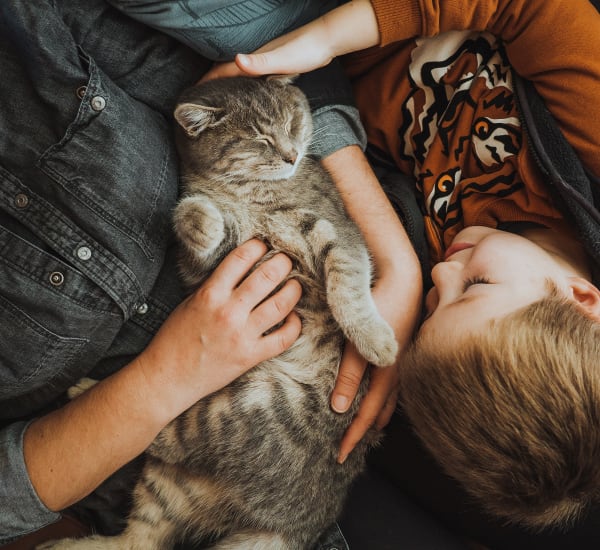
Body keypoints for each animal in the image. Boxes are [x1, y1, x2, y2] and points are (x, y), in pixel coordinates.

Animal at [41, 75, 398, 548]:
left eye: (292, 122)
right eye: (261, 139)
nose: (292, 155)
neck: (245, 192)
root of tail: (297, 523)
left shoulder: (336, 232)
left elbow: (348, 286)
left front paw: (375, 341)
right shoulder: (215, 264)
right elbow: (199, 224)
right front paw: (197, 213)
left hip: (247, 411)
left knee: (164, 449)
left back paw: (81, 394)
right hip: (201, 451)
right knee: (142, 503)